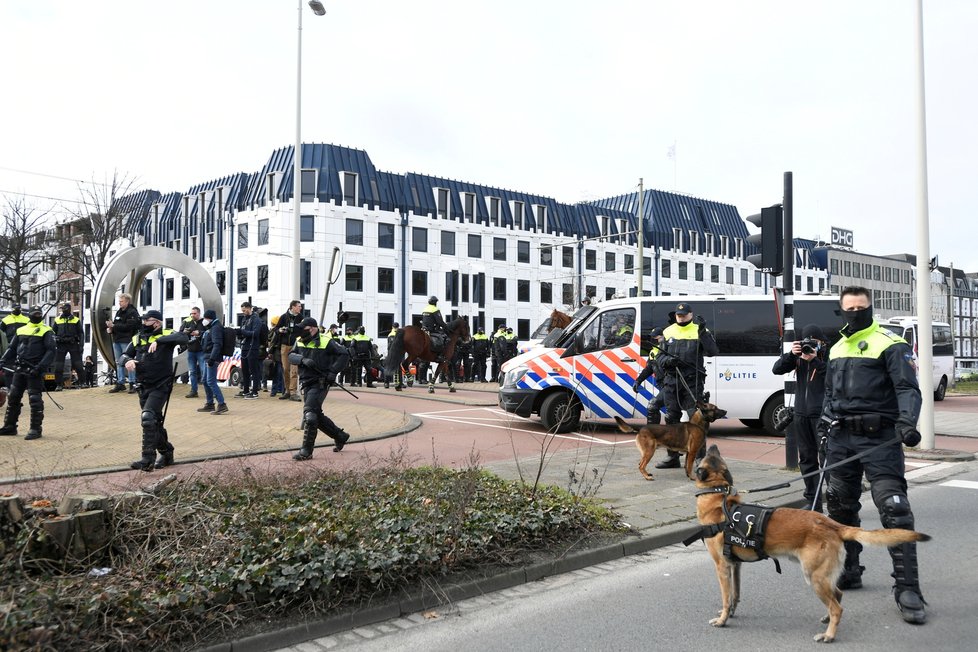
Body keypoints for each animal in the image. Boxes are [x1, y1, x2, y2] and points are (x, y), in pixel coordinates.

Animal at [692, 444, 928, 640]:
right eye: (714, 454)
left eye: (706, 455)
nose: (712, 444)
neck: (717, 498)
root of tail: (832, 524)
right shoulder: (736, 566)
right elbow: (735, 595)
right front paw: (731, 613)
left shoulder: (722, 567)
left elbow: (726, 597)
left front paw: (722, 620)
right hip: (822, 577)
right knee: (838, 595)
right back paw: (827, 620)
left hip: (814, 577)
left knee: (837, 607)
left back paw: (829, 635)